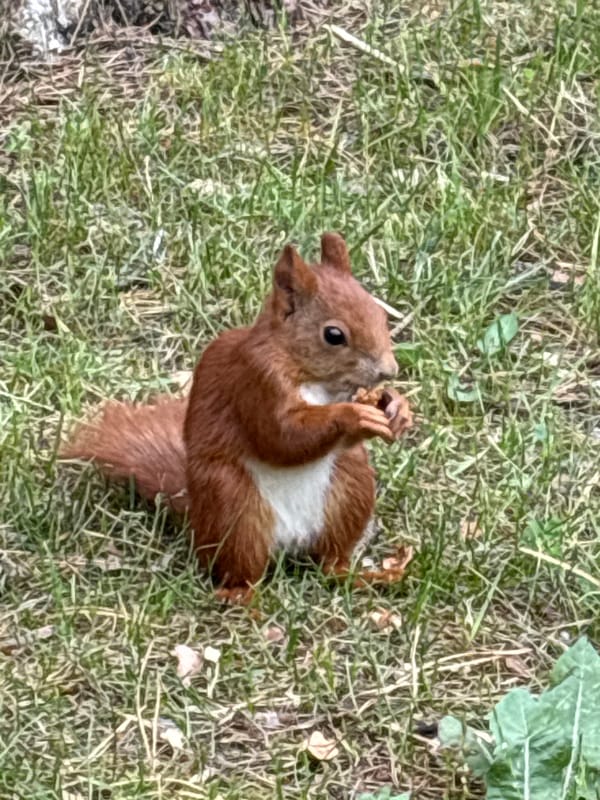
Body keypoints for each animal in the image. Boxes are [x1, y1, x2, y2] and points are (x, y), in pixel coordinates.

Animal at [62, 233, 413, 603]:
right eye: (334, 335)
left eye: (379, 313)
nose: (389, 371)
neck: (313, 378)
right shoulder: (255, 381)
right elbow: (280, 437)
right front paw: (353, 416)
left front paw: (398, 407)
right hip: (233, 504)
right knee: (243, 572)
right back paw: (242, 600)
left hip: (350, 486)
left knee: (330, 564)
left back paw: (370, 576)